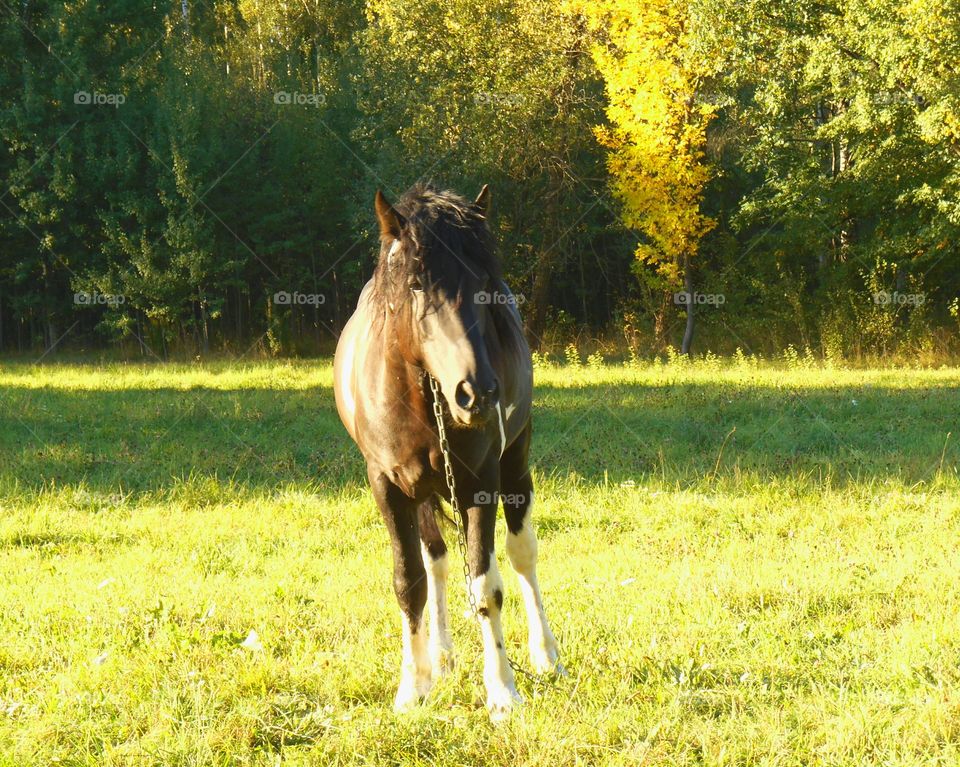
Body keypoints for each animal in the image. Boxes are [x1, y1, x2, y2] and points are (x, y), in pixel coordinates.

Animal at [336, 183, 560, 716]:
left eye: (483, 283)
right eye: (416, 284)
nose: (476, 393)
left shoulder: (480, 483)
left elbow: (486, 585)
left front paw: (502, 690)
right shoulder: (389, 487)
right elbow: (409, 581)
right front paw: (412, 687)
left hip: (515, 465)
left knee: (522, 553)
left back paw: (546, 655)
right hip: (422, 494)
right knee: (435, 560)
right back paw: (439, 656)